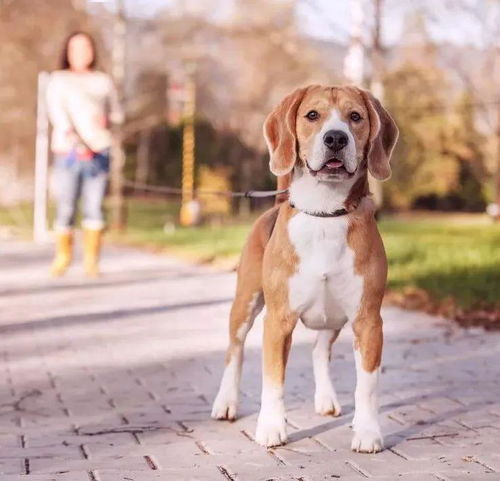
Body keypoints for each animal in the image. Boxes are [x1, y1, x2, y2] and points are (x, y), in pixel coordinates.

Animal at [210, 85, 398, 454]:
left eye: (355, 116)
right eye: (312, 115)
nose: (336, 138)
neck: (325, 213)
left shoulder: (368, 321)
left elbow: (367, 385)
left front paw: (368, 432)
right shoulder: (278, 321)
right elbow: (273, 381)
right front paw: (271, 428)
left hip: (334, 317)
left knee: (319, 351)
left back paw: (326, 399)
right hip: (245, 303)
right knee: (234, 353)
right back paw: (226, 402)